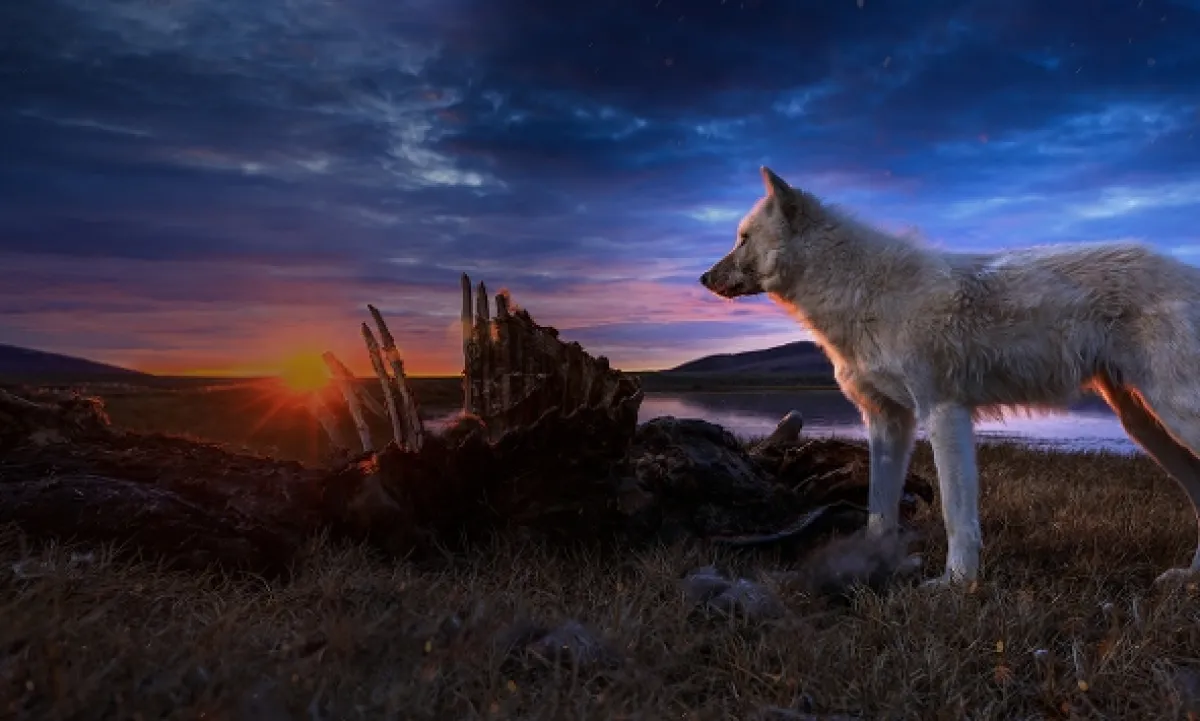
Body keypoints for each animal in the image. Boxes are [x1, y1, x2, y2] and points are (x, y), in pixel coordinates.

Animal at [699, 166, 1200, 588]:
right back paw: (1189, 578)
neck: (860, 293)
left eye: (742, 238)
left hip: (1172, 416)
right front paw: (871, 565)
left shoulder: (943, 413)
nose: (704, 278)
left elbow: (956, 515)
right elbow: (878, 509)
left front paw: (956, 585)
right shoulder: (888, 422)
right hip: (1143, 425)